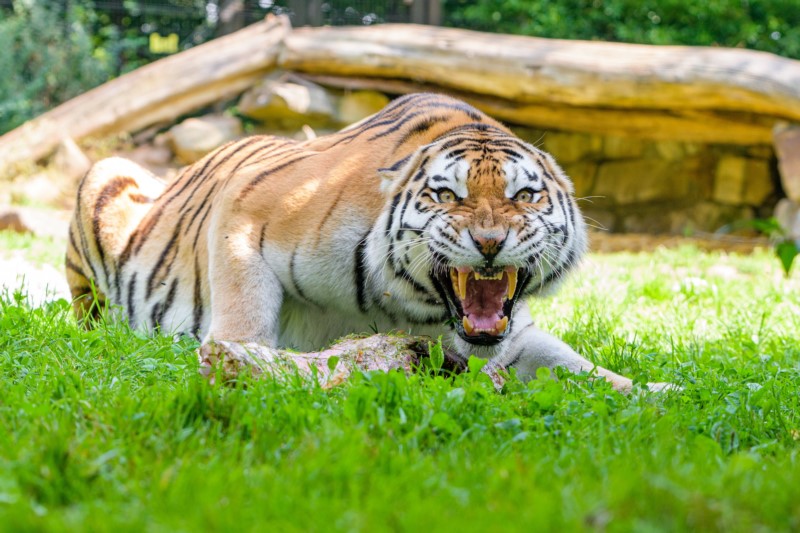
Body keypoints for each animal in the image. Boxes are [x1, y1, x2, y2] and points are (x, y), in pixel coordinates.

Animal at [67, 92, 668, 390]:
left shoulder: (512, 337)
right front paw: (238, 361)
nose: (490, 241)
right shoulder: (247, 207)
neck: (415, 305)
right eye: (447, 195)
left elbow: (584, 369)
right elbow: (244, 319)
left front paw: (662, 397)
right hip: (106, 175)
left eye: (523, 196)